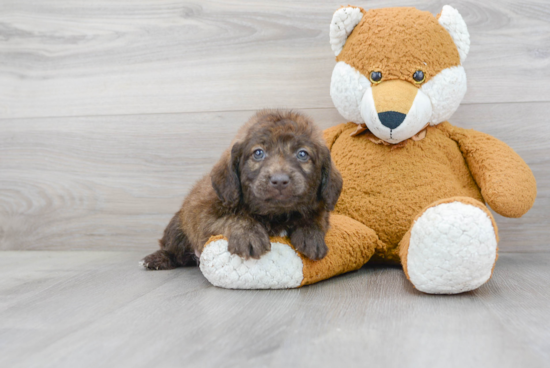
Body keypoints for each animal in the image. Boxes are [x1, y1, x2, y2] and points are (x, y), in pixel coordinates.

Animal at [140, 109, 342, 270]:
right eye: (258, 153)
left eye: (302, 154)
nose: (279, 181)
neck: (275, 215)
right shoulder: (204, 212)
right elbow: (232, 217)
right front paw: (248, 233)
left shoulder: (321, 209)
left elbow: (316, 217)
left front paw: (310, 233)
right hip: (177, 228)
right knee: (173, 249)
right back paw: (156, 259)